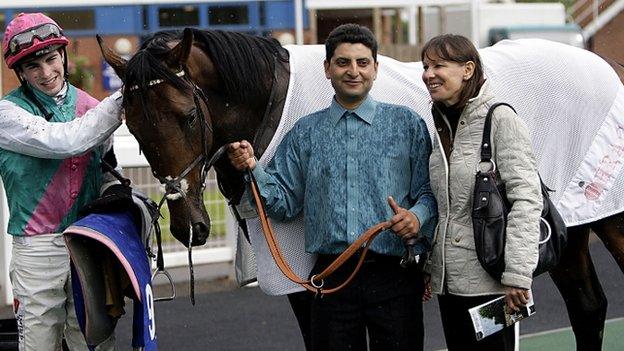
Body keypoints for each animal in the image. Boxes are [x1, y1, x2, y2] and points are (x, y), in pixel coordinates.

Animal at [100, 27, 624, 350]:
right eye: (133, 130)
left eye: (189, 115)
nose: (190, 225)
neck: (273, 103)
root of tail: (604, 65)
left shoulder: (308, 268)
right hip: (566, 233)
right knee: (588, 306)